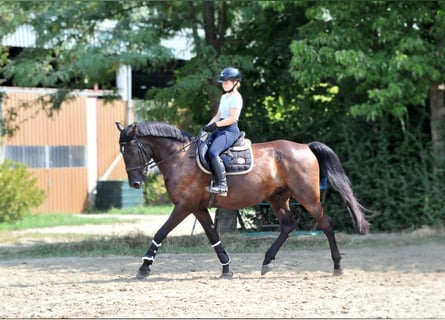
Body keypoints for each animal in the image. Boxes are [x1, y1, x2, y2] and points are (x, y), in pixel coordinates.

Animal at [116, 120, 370, 278]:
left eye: (131, 150)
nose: (135, 184)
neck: (180, 158)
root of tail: (306, 147)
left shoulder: (184, 206)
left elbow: (161, 232)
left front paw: (144, 267)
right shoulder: (198, 208)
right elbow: (213, 236)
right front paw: (226, 267)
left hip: (307, 196)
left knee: (325, 223)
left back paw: (337, 265)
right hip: (278, 198)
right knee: (288, 225)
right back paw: (266, 262)